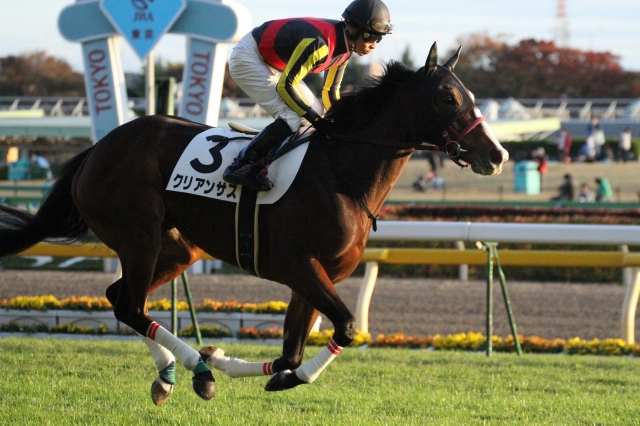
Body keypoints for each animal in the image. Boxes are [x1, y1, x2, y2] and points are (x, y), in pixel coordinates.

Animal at [0, 42, 508, 405]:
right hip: (138, 235)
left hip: (178, 248)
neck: (341, 172)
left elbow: (290, 353)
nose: (497, 154)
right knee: (129, 305)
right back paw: (196, 371)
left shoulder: (314, 276)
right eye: (447, 97)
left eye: (470, 95)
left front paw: (232, 360)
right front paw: (224, 364)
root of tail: (96, 149)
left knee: (121, 298)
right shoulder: (299, 266)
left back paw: (172, 374)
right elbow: (343, 328)